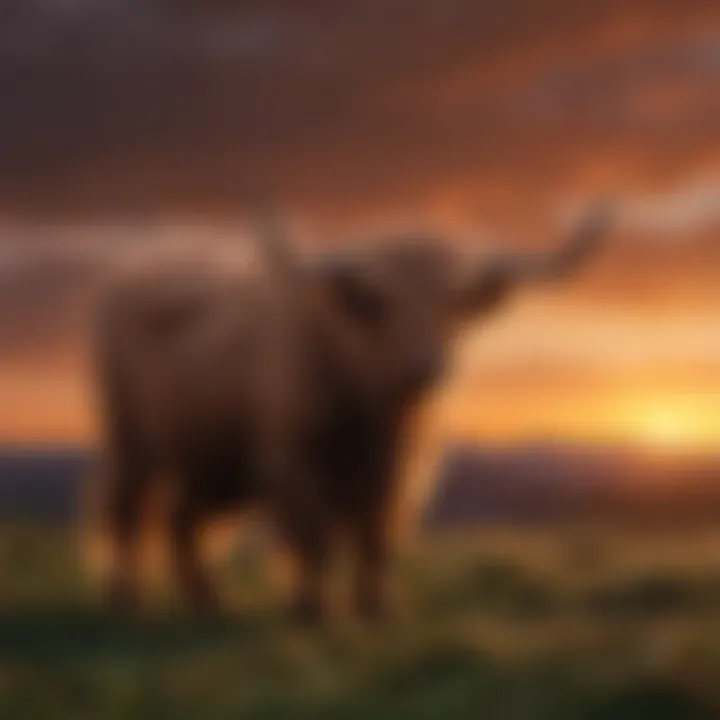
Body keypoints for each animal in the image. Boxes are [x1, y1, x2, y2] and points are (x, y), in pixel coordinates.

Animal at [91, 202, 612, 624]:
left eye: (451, 304)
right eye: (380, 304)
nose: (424, 366)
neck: (372, 417)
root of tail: (142, 270)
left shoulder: (397, 471)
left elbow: (377, 538)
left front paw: (376, 611)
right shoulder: (292, 463)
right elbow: (314, 538)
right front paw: (313, 611)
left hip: (214, 461)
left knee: (182, 520)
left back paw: (210, 603)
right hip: (134, 439)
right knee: (127, 510)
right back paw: (129, 599)